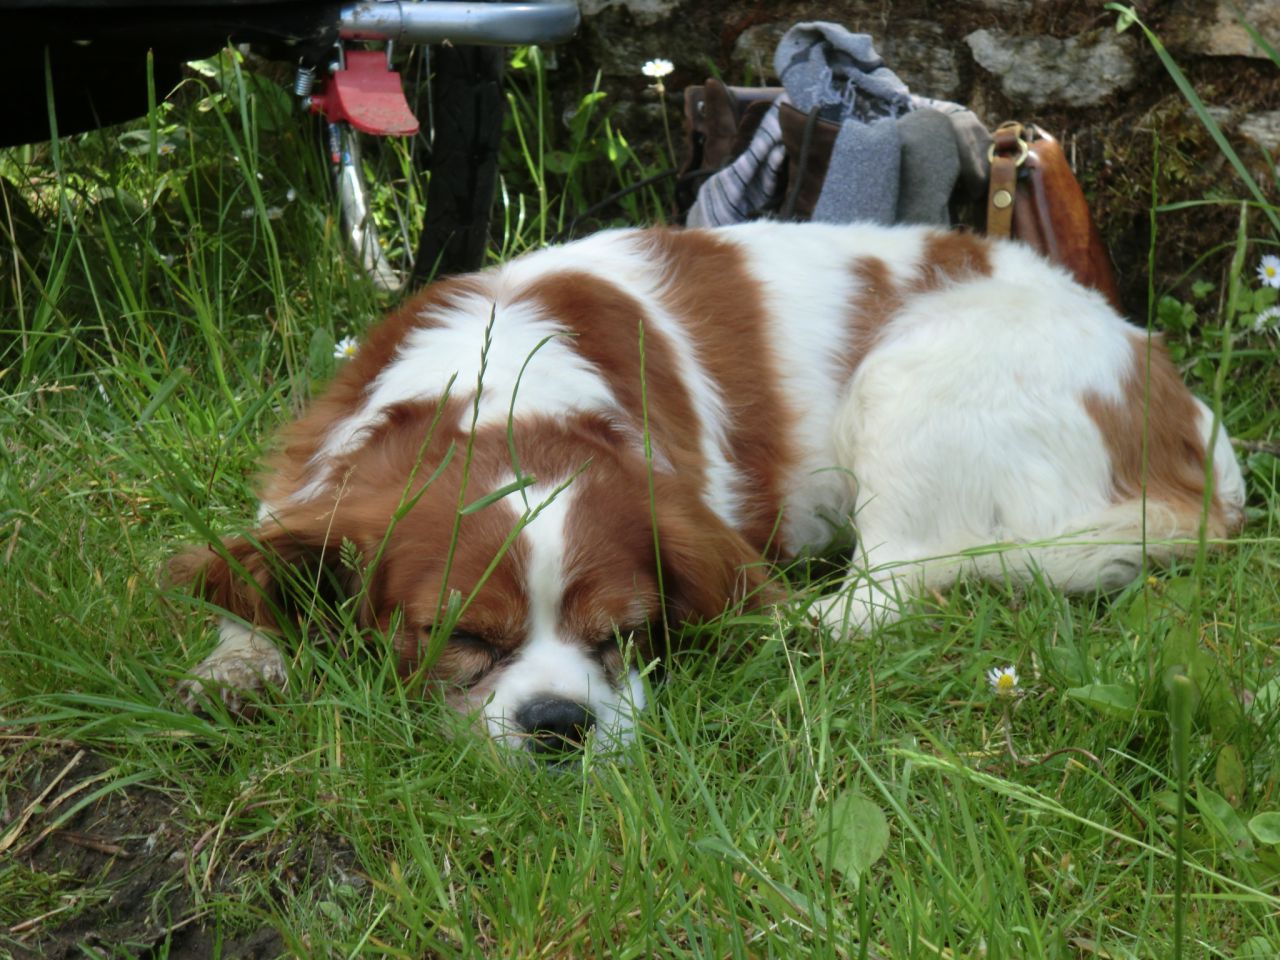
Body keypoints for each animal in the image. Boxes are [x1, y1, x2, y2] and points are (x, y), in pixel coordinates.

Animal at [172, 221, 1246, 756]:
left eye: (624, 635)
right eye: (461, 639)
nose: (557, 726)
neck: (495, 390)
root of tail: (1187, 427)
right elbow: (256, 572)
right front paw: (240, 663)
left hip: (910, 370)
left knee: (888, 586)